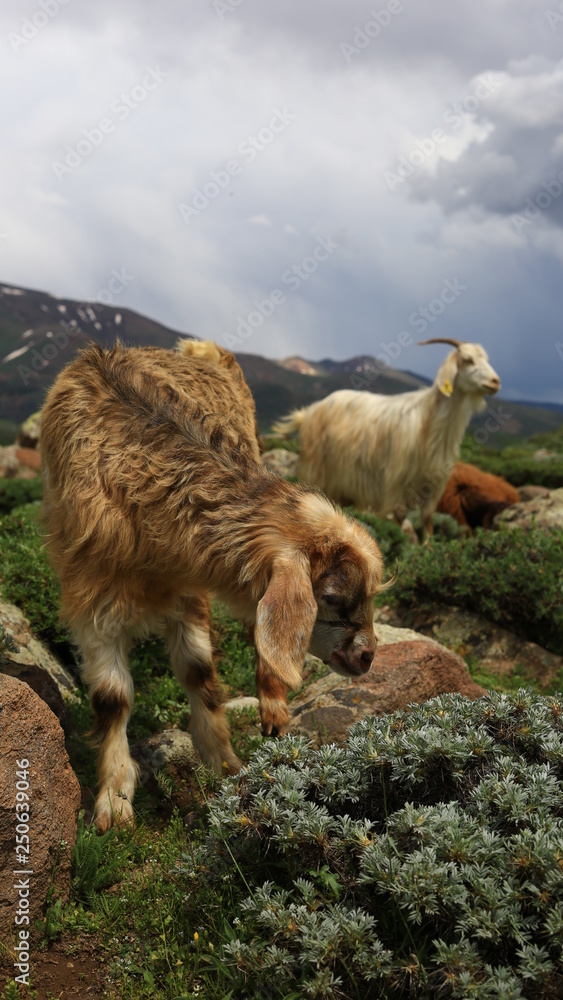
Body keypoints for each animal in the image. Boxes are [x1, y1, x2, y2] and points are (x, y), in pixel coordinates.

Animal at [40, 340, 385, 831]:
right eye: (333, 597)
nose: (368, 656)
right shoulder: (92, 593)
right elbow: (112, 697)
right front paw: (114, 800)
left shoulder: (190, 591)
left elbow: (198, 672)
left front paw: (226, 766)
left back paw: (273, 703)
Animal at [273, 339, 501, 539]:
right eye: (468, 360)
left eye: (486, 358)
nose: (495, 382)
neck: (428, 421)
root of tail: (308, 413)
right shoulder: (393, 485)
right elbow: (396, 522)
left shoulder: (434, 484)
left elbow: (427, 522)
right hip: (315, 471)